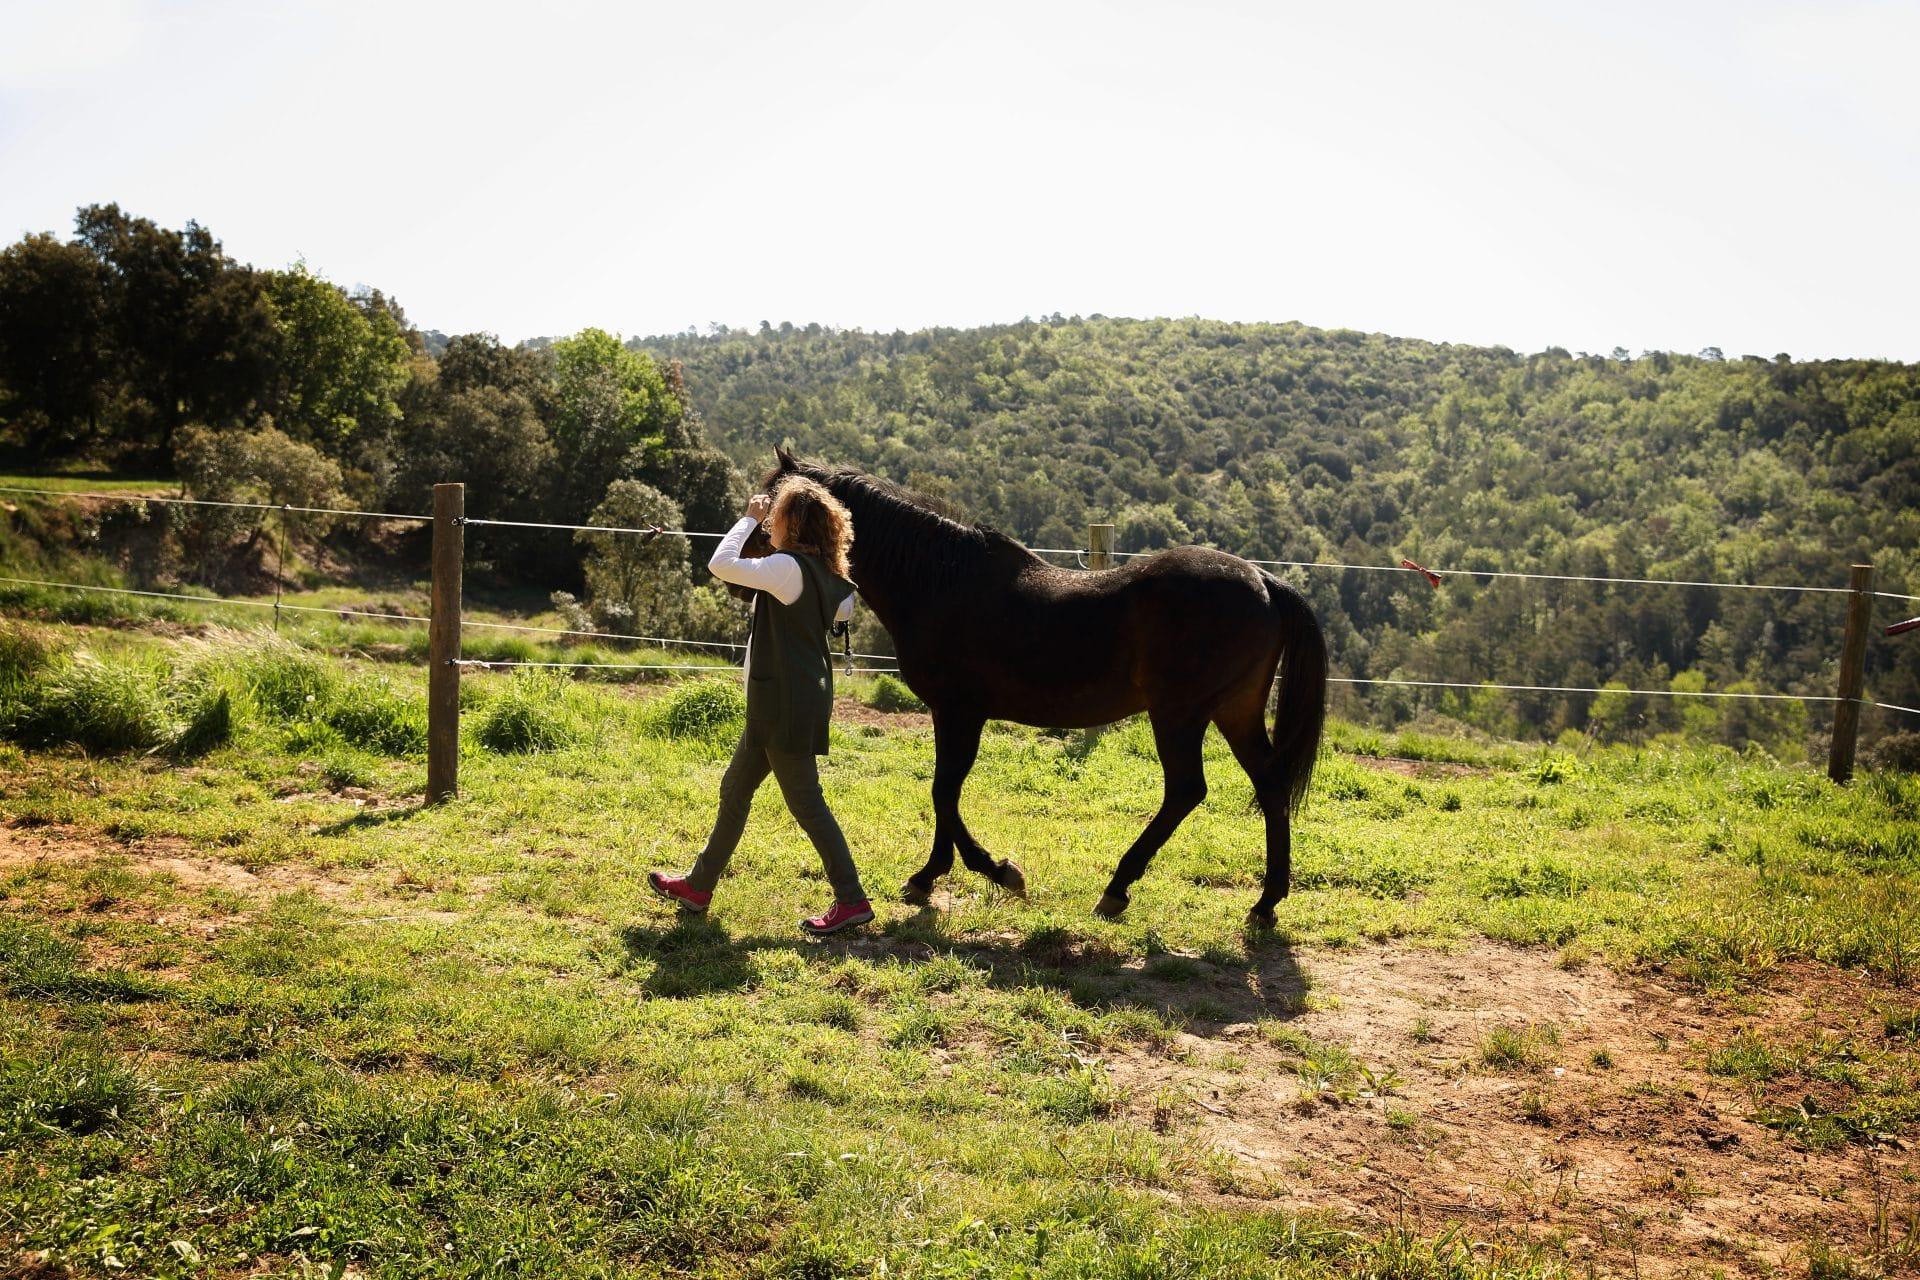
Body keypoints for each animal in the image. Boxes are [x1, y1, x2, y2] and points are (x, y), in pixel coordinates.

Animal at [756, 452, 1328, 932]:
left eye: (766, 508)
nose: (747, 567)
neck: (939, 582)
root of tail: (1264, 581)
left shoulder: (960, 711)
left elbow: (944, 792)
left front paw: (996, 871)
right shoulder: (951, 713)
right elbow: (945, 791)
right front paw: (930, 876)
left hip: (1179, 715)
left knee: (1187, 791)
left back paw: (1118, 889)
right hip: (1234, 711)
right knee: (1270, 785)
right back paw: (1265, 903)